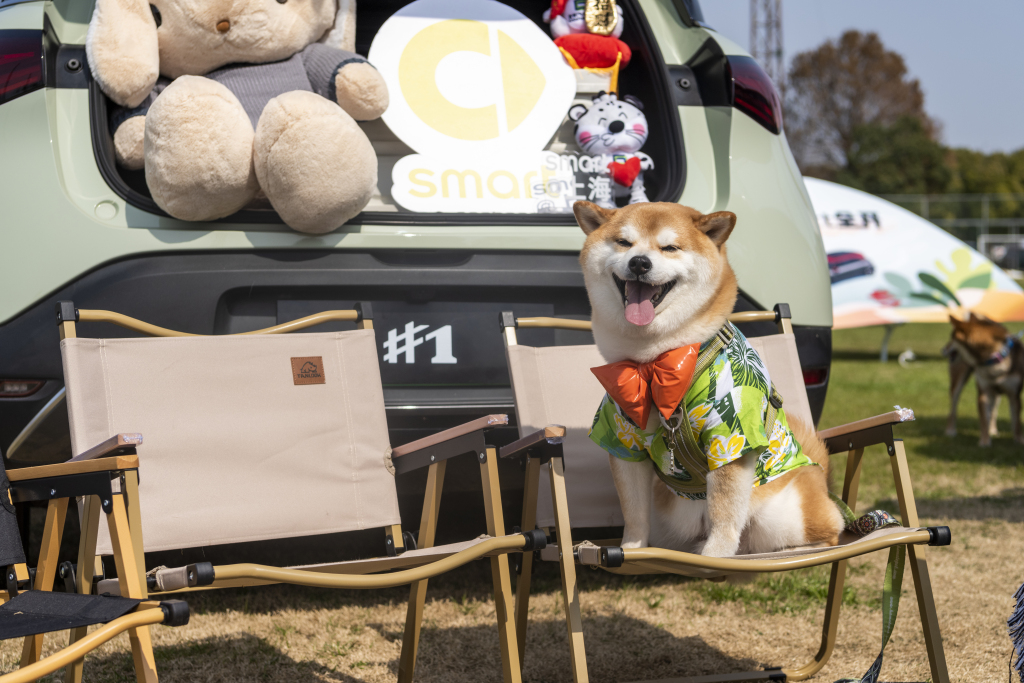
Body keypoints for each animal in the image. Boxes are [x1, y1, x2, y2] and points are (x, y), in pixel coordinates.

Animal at [577, 200, 839, 557]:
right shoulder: (621, 440)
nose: (640, 262)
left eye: (670, 248)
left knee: (827, 534)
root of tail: (821, 476)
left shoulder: (731, 435)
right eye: (623, 243)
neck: (656, 361)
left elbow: (724, 514)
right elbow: (633, 513)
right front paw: (632, 551)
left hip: (782, 515)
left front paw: (716, 557)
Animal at [942, 313, 1024, 446]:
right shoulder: (983, 392)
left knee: (994, 411)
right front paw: (984, 443)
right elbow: (984, 419)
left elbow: (1016, 422)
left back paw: (993, 430)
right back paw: (950, 430)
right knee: (953, 406)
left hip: (996, 393)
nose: (943, 349)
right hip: (958, 381)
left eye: (952, 338)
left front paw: (1019, 441)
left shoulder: (1014, 394)